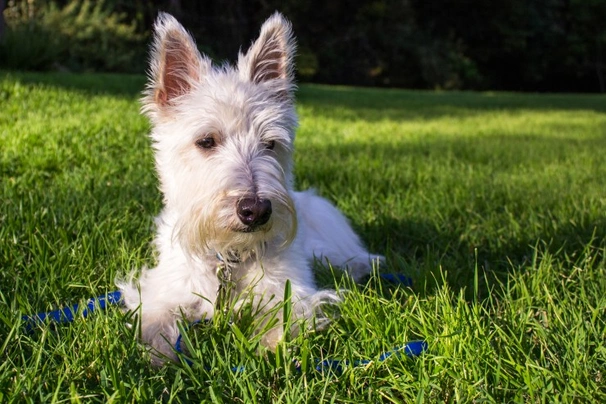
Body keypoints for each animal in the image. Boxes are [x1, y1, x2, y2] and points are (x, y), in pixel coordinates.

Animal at [117, 12, 384, 364]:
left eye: (270, 143)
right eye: (206, 141)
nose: (255, 210)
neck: (230, 257)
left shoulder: (290, 289)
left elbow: (283, 315)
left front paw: (272, 349)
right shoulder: (165, 287)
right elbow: (157, 318)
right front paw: (159, 355)